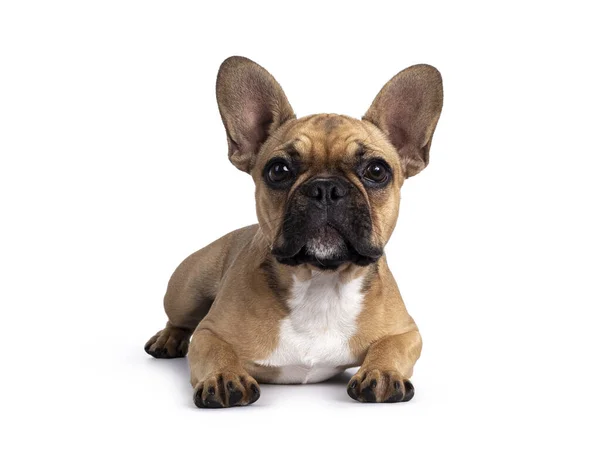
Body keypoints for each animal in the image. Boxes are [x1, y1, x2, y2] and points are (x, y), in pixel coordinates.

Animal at [144, 55, 442, 406]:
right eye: (278, 170)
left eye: (377, 170)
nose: (325, 189)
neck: (321, 283)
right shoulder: (209, 332)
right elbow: (215, 350)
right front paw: (224, 377)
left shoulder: (406, 331)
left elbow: (391, 346)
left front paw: (382, 372)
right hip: (187, 290)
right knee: (179, 320)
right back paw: (167, 339)